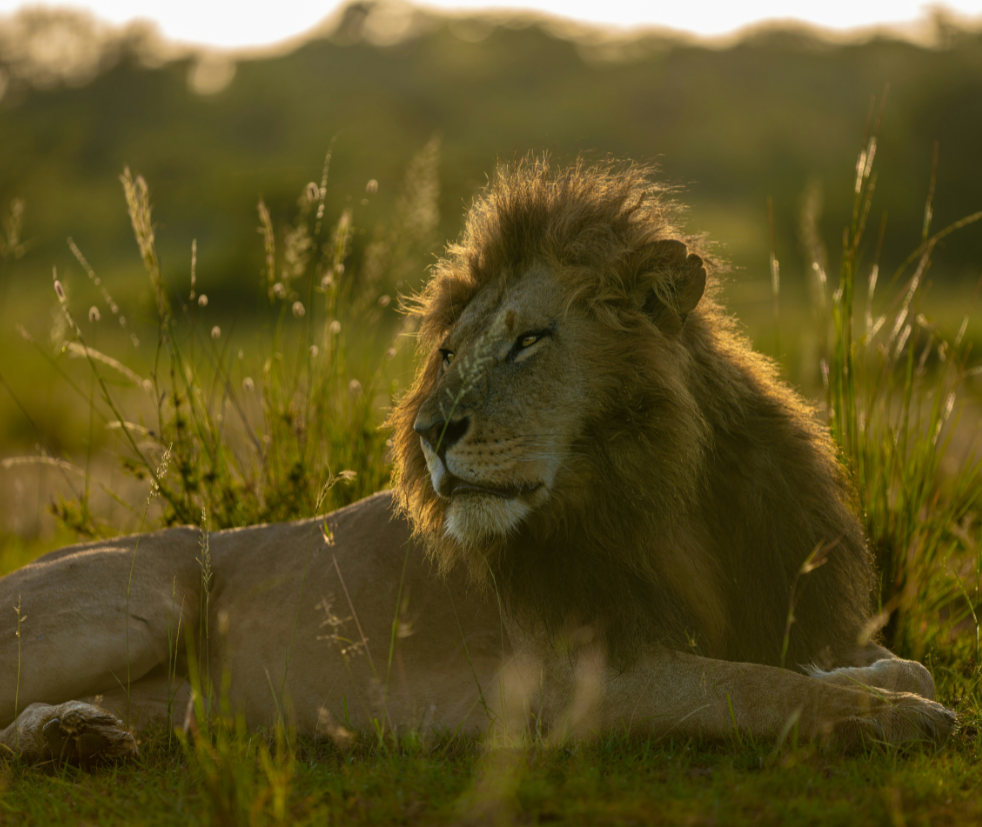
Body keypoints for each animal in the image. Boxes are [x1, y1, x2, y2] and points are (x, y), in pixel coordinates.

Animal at [0, 155, 952, 764]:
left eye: (530, 340)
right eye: (450, 352)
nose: (429, 431)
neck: (670, 502)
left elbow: (850, 661)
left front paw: (883, 675)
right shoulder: (580, 685)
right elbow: (760, 690)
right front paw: (896, 713)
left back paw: (83, 734)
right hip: (144, 599)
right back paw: (63, 736)